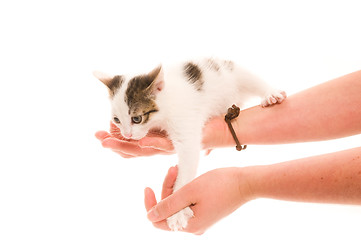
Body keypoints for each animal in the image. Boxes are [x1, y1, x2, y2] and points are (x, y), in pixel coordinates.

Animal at [94, 57, 286, 231]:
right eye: (117, 120)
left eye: (136, 118)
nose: (126, 134)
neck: (166, 102)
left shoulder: (184, 126)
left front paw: (177, 213)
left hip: (233, 72)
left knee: (252, 80)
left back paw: (270, 94)